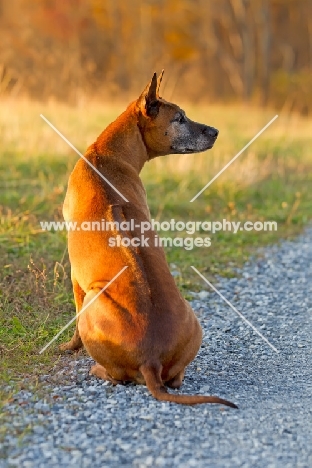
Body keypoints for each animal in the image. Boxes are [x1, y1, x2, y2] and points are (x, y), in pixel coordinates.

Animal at [60, 71, 236, 408]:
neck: (108, 154)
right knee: (176, 379)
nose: (217, 131)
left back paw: (97, 369)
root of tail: (150, 360)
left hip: (92, 299)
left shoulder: (75, 276)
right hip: (193, 322)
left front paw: (68, 347)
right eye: (179, 118)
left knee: (118, 375)